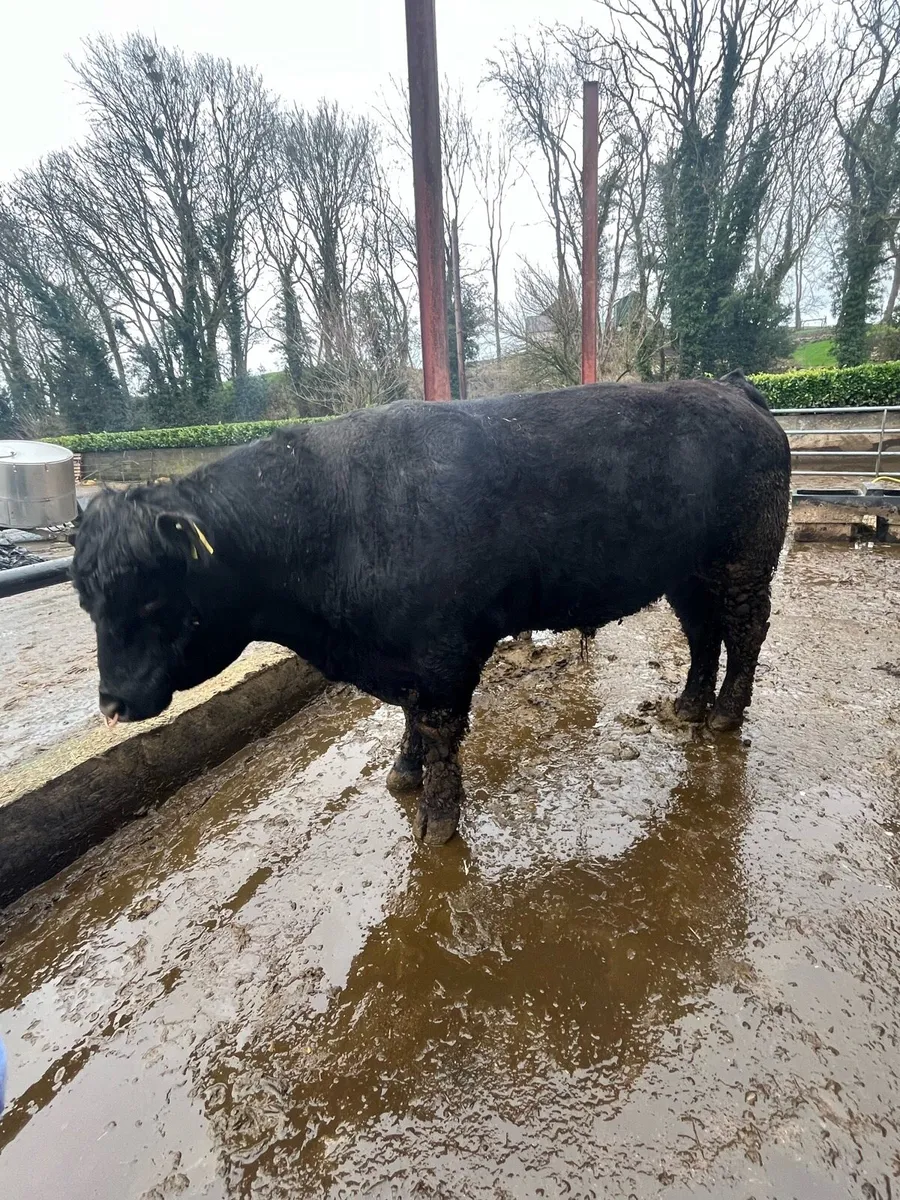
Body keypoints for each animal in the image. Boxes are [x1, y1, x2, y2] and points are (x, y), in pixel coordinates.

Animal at [71, 374, 790, 844]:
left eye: (152, 596)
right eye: (86, 598)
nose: (112, 703)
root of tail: (731, 389)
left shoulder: (444, 650)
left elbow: (440, 730)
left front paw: (438, 818)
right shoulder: (406, 656)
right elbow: (411, 720)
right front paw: (403, 771)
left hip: (743, 561)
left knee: (746, 632)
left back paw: (724, 714)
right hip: (688, 573)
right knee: (703, 634)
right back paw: (689, 705)